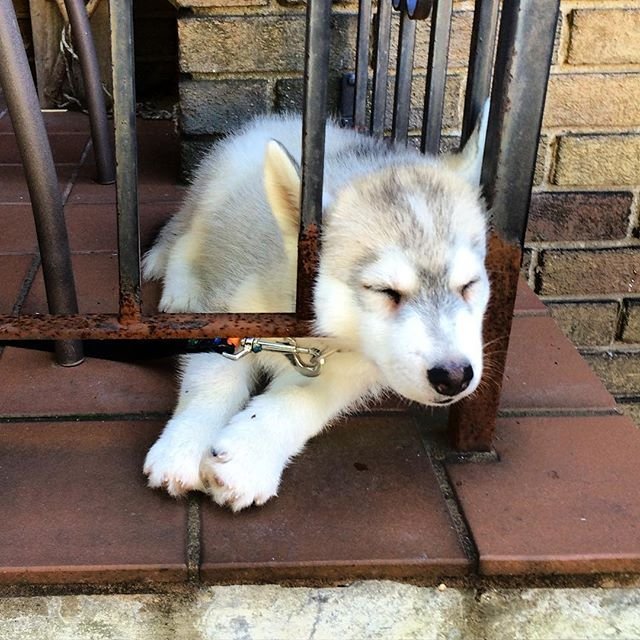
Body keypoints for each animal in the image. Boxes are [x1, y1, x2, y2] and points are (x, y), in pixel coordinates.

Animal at [142, 106, 490, 511]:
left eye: (469, 285)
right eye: (384, 290)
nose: (454, 376)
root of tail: (283, 118)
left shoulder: (350, 367)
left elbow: (303, 399)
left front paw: (248, 457)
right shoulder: (228, 313)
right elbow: (210, 380)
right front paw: (182, 447)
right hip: (214, 195)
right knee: (184, 240)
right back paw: (181, 289)